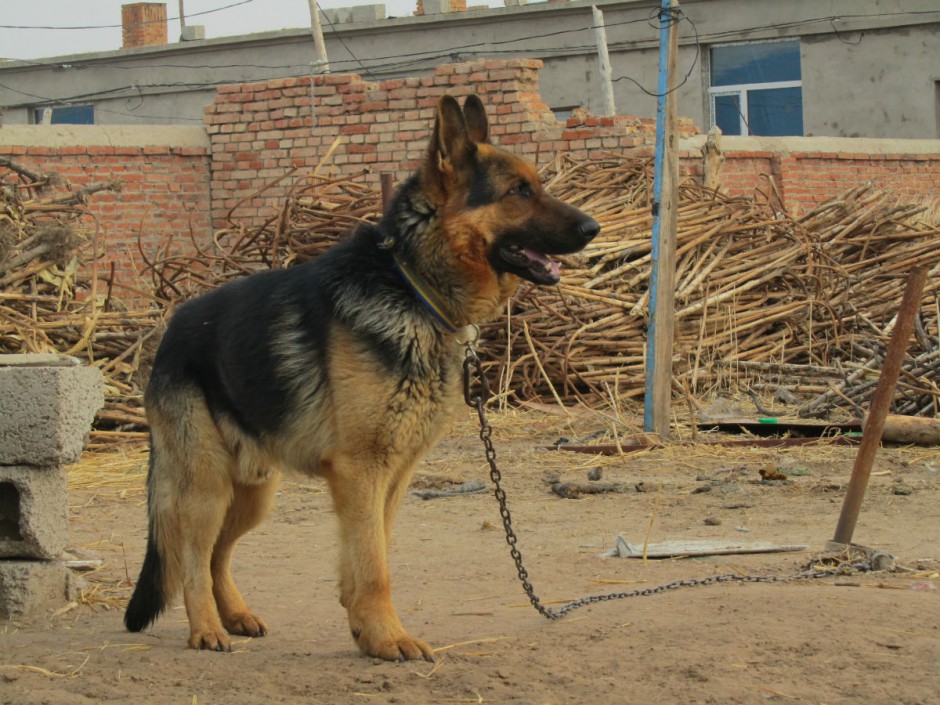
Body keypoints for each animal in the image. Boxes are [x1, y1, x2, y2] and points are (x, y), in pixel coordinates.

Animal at [123, 93, 596, 660]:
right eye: (519, 192)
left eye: (536, 185)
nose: (593, 228)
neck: (413, 288)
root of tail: (171, 330)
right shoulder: (362, 470)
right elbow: (374, 565)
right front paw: (388, 637)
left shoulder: (393, 475)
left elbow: (372, 552)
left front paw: (365, 630)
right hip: (208, 487)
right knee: (192, 558)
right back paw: (206, 629)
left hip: (254, 493)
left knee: (217, 553)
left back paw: (234, 615)